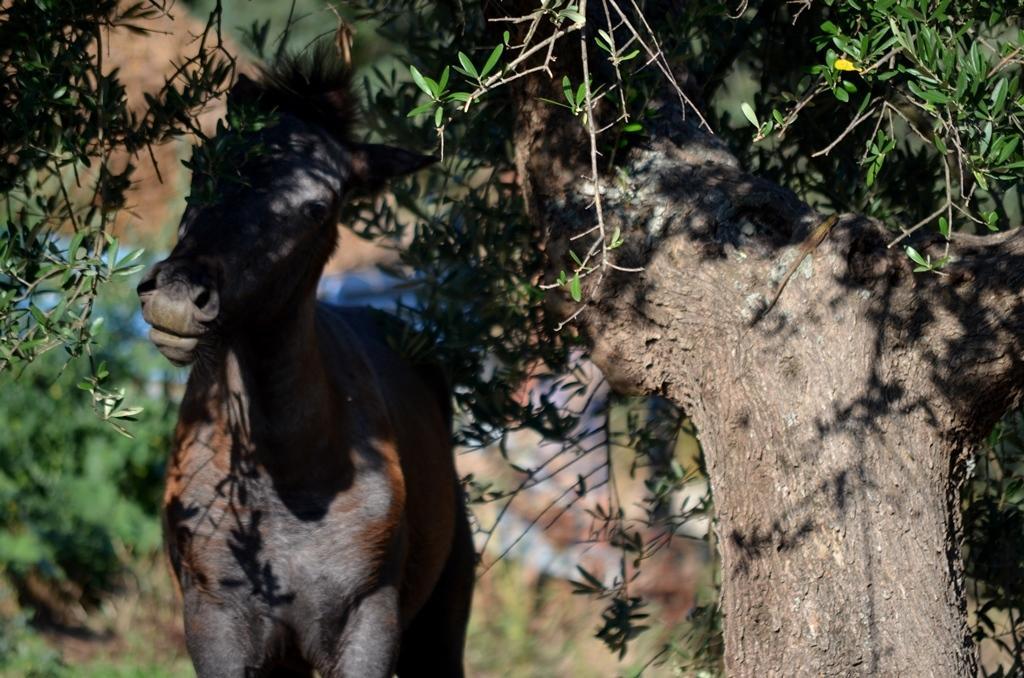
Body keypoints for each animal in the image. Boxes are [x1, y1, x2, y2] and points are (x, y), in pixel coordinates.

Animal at [136, 50, 475, 675]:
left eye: (316, 207)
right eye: (203, 167)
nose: (176, 296)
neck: (289, 477)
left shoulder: (368, 624)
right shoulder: (216, 624)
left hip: (440, 621)